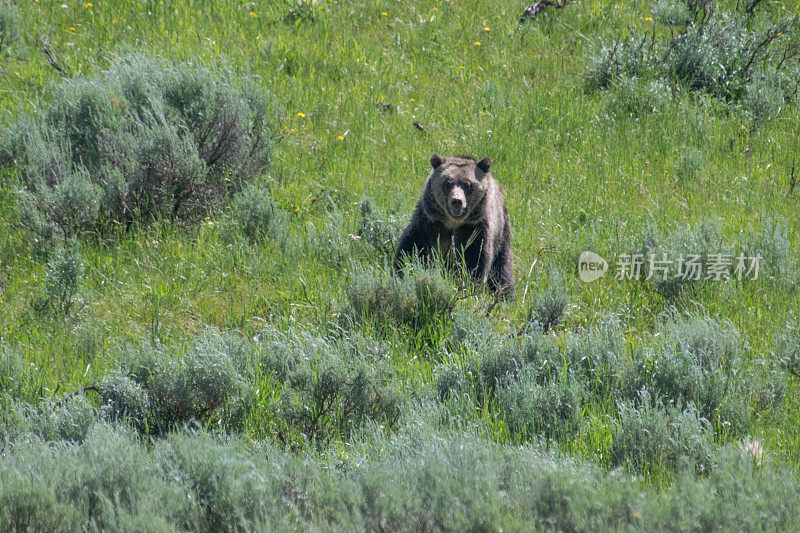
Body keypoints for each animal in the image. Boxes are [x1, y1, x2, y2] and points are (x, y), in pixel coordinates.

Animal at [392, 153, 512, 296]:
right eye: (447, 182)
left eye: (468, 183)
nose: (457, 201)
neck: (452, 223)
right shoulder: (428, 223)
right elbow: (412, 249)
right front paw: (403, 273)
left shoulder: (474, 229)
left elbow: (474, 260)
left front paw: (467, 285)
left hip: (501, 231)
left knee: (501, 269)